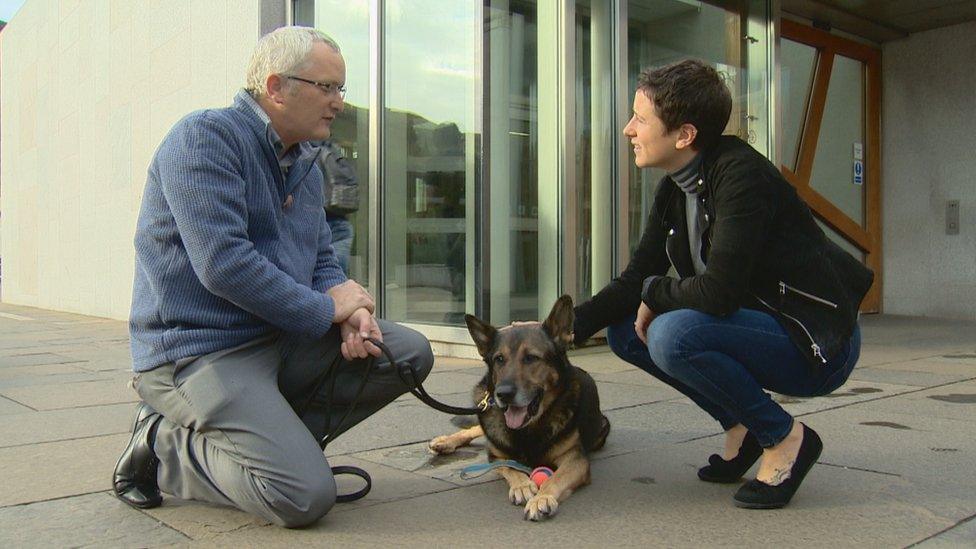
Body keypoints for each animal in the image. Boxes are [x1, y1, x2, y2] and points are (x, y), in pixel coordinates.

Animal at [428, 296, 608, 520]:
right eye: (499, 359)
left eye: (531, 358)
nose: (503, 394)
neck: (527, 430)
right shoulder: (497, 457)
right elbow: (512, 469)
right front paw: (522, 486)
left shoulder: (575, 460)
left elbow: (554, 479)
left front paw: (542, 498)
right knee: (475, 428)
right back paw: (445, 441)